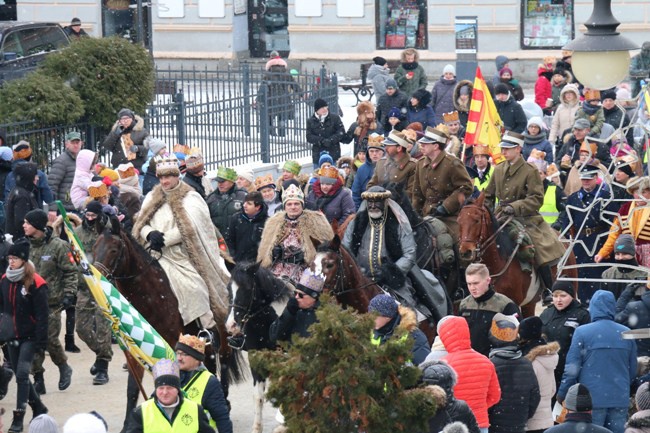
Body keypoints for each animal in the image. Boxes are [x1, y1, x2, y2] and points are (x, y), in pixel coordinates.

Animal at [90, 216, 244, 428]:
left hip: (223, 335)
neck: (151, 297)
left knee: (224, 364)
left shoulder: (171, 345)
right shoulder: (133, 349)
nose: (94, 280)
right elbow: (133, 388)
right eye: (94, 247)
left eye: (114, 249)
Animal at [225, 260, 292, 432]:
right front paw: (257, 427)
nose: (231, 325)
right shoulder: (256, 358)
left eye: (248, 288)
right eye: (229, 288)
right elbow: (258, 397)